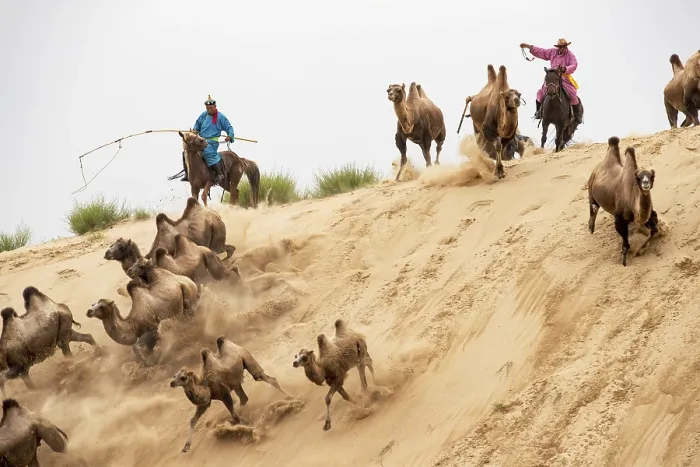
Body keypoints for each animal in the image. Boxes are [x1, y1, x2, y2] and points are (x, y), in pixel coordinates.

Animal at [588, 137, 658, 266]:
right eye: (639, 178)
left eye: (652, 177)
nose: (645, 183)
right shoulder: (620, 218)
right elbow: (624, 239)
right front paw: (625, 258)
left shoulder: (651, 214)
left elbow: (654, 230)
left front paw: (639, 249)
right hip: (590, 188)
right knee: (593, 209)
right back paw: (591, 229)